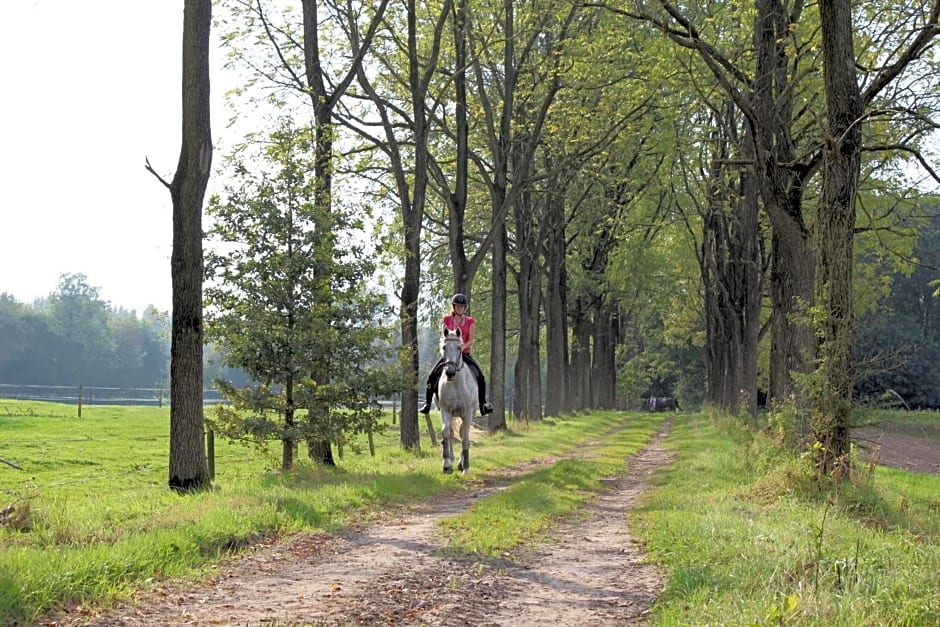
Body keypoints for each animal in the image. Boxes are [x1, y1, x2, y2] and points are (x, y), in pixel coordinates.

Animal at [436, 326, 478, 474]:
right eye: (444, 347)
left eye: (459, 348)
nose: (450, 372)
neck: (455, 383)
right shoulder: (445, 410)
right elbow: (446, 433)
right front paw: (446, 464)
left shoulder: (468, 413)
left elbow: (465, 438)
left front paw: (466, 467)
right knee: (452, 433)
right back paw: (452, 460)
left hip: (470, 413)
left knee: (462, 433)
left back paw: (460, 463)